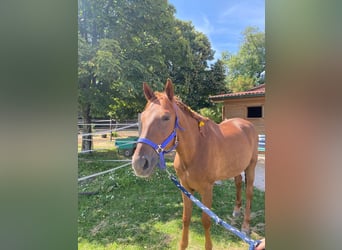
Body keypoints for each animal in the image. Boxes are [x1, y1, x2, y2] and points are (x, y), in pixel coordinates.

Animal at [132, 79, 258, 249]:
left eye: (166, 117)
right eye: (143, 117)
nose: (139, 163)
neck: (196, 150)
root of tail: (246, 124)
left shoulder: (207, 189)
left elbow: (206, 221)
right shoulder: (185, 188)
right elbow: (186, 218)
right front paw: (183, 244)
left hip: (251, 167)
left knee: (249, 192)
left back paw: (245, 226)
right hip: (236, 167)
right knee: (238, 183)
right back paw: (236, 210)